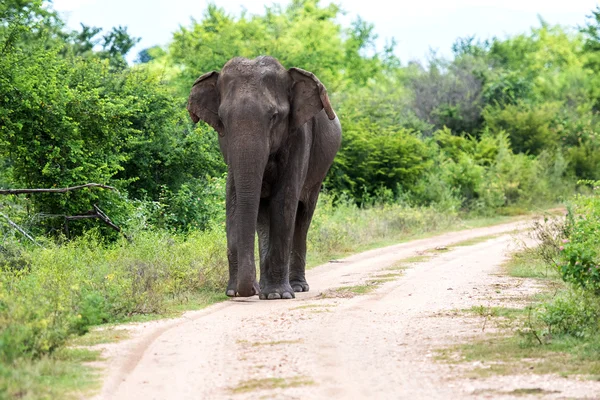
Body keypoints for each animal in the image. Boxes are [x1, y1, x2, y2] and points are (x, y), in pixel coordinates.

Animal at [188, 56, 340, 300]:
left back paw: (296, 287)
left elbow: (284, 202)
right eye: (222, 119)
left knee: (303, 216)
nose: (249, 290)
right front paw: (234, 292)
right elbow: (233, 202)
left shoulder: (299, 137)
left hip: (319, 174)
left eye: (274, 117)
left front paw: (277, 295)